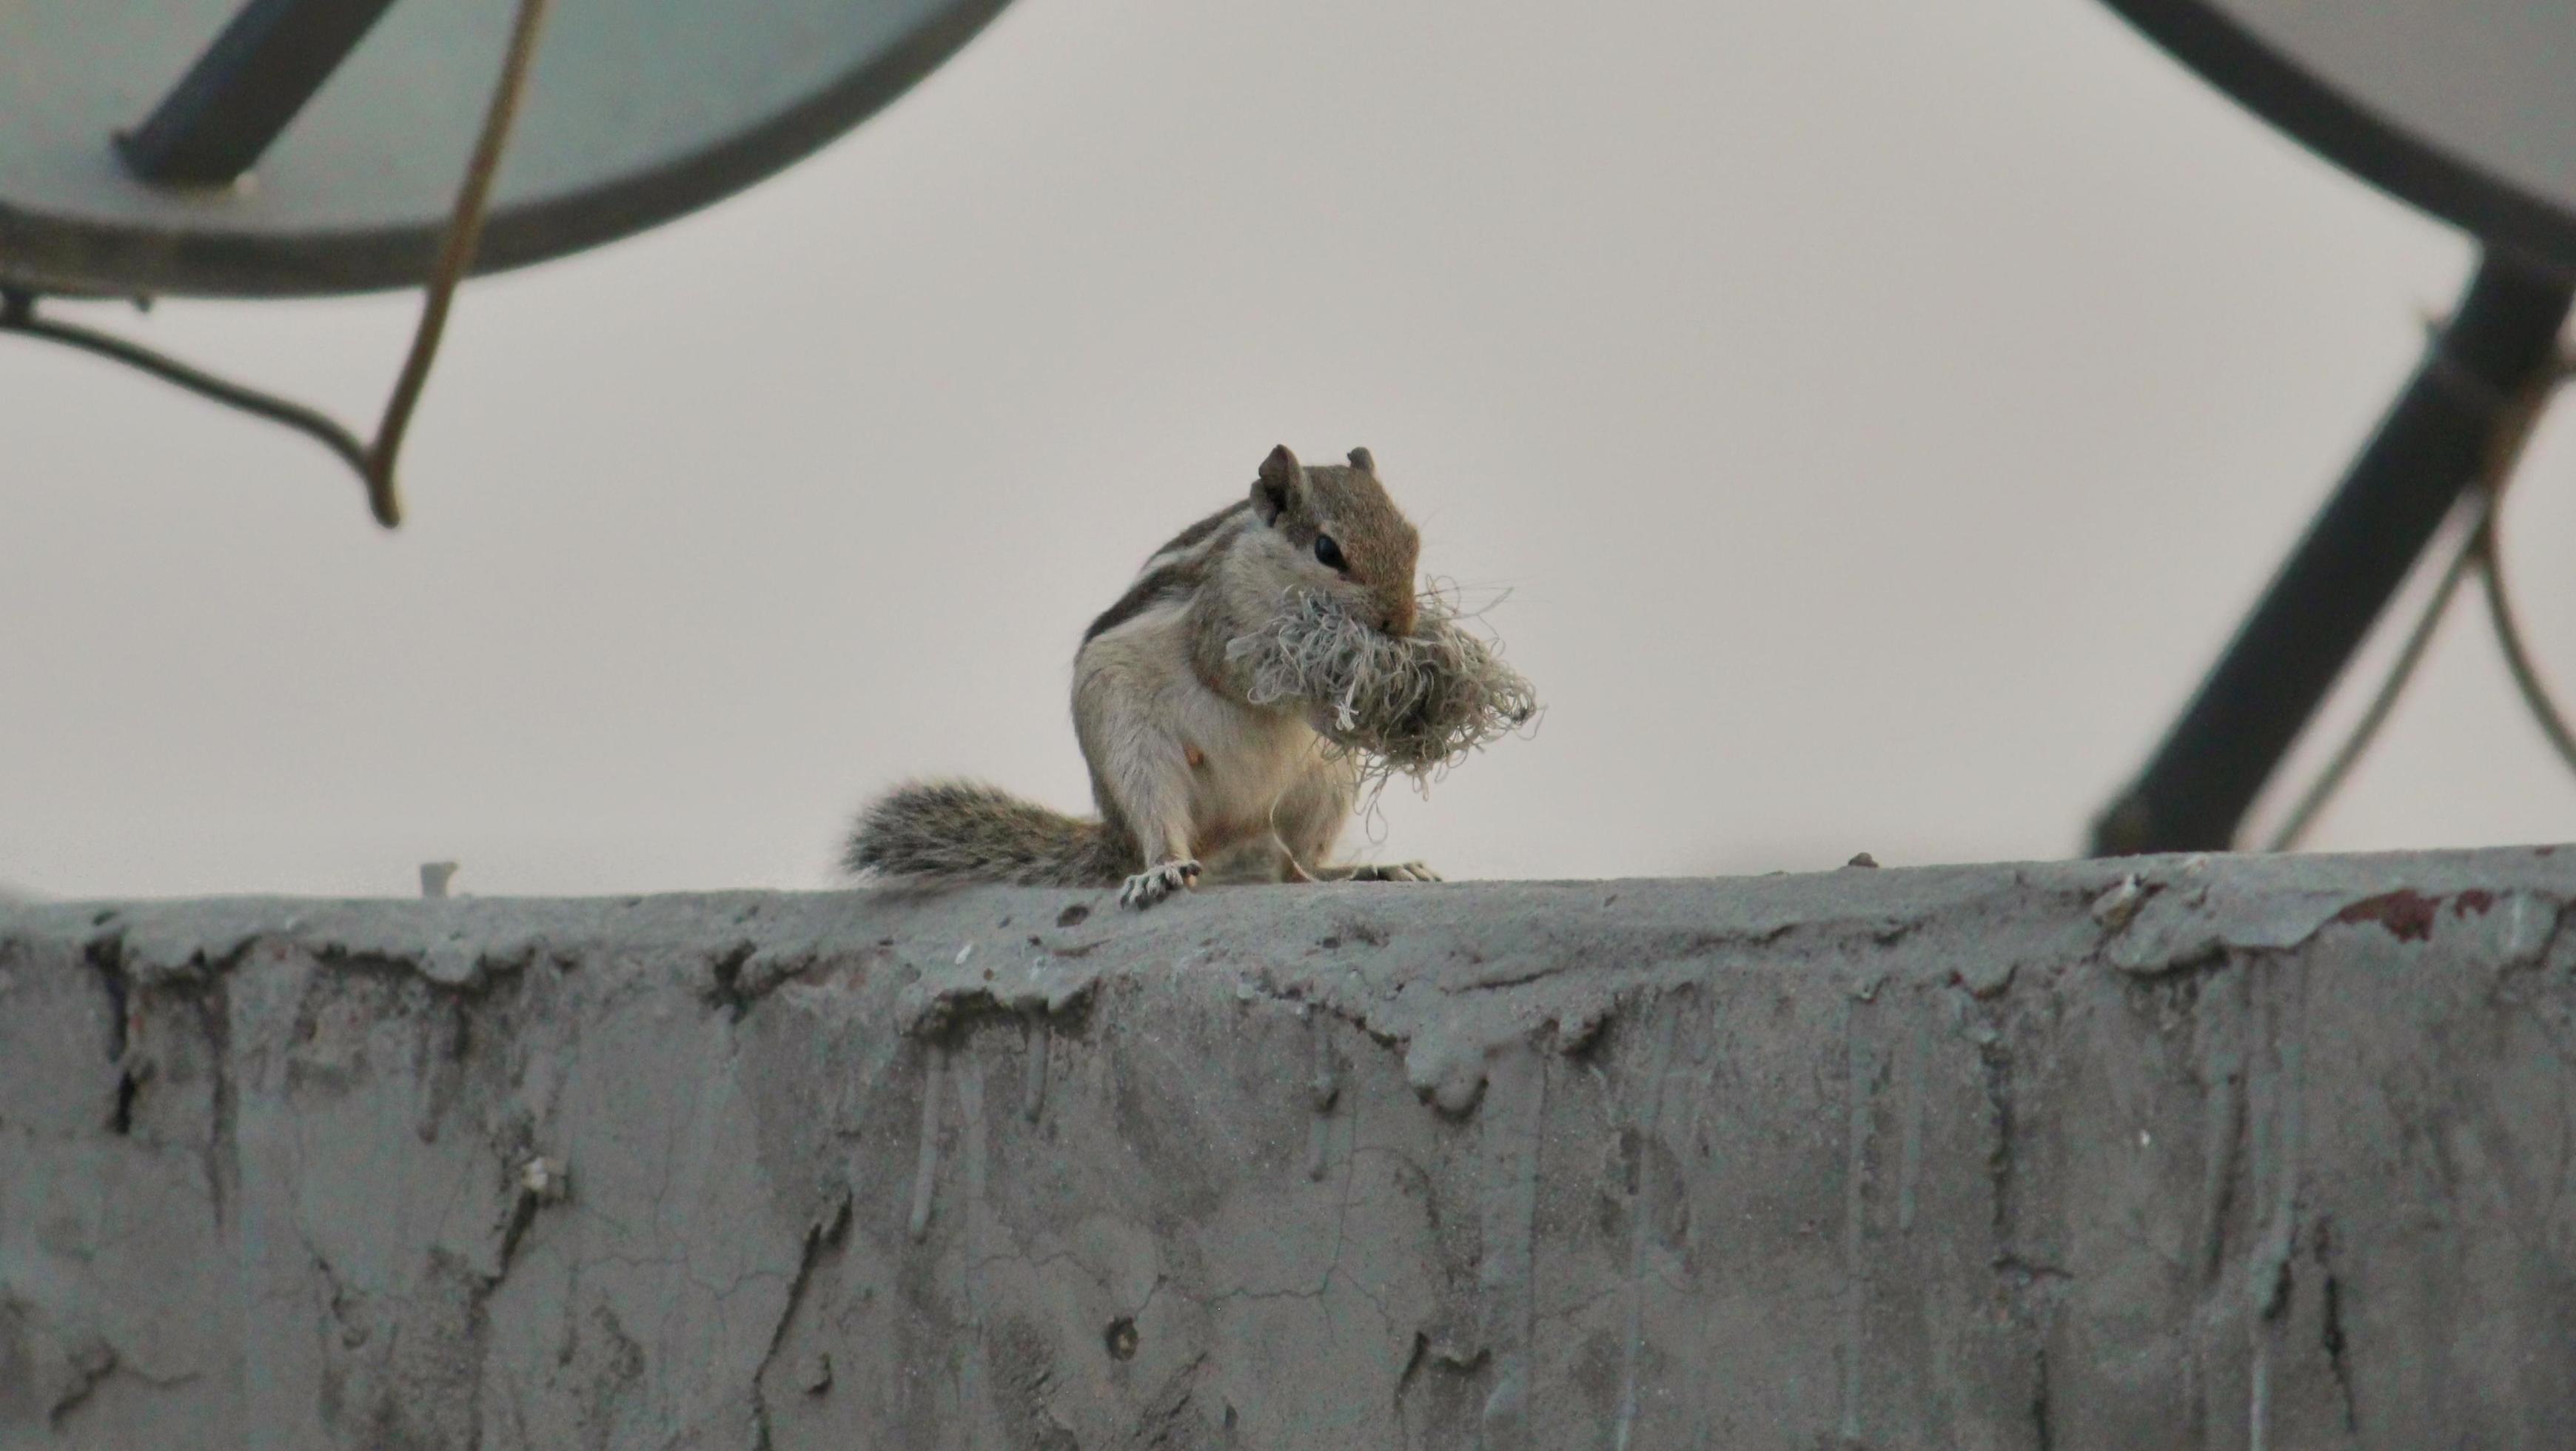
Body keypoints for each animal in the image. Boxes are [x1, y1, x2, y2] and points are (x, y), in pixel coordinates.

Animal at [846, 444, 1440, 909]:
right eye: (1327, 550)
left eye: (1413, 540)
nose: (1400, 623)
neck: (1265, 561)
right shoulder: (1220, 620)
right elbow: (1234, 677)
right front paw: (1332, 698)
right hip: (1134, 751)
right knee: (1163, 822)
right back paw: (1163, 870)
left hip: (1323, 787)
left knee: (1299, 868)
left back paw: (1369, 869)